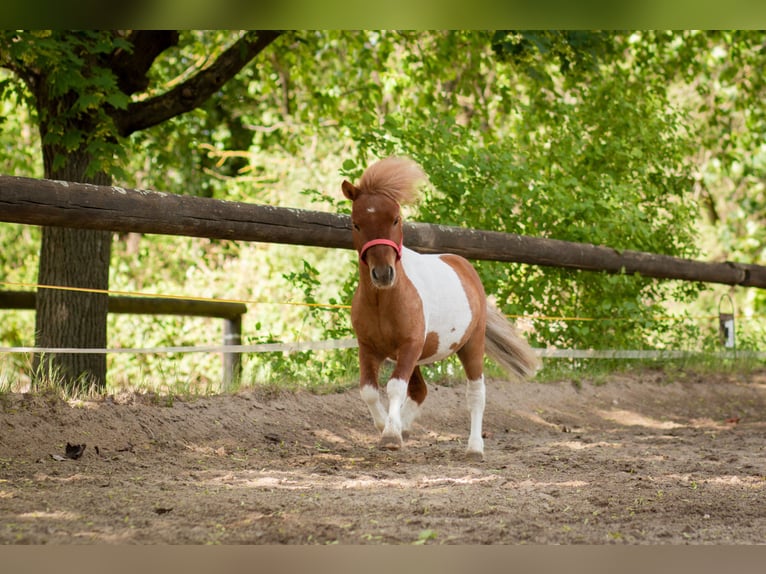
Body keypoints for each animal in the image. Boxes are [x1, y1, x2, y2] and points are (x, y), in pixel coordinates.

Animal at [342, 156, 540, 460]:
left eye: (396, 219)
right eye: (356, 224)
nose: (383, 274)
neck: (383, 301)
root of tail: (464, 265)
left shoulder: (409, 346)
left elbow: (394, 387)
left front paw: (390, 435)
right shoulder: (369, 348)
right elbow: (369, 391)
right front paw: (387, 427)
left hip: (471, 345)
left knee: (476, 393)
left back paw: (474, 448)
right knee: (420, 391)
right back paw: (405, 427)